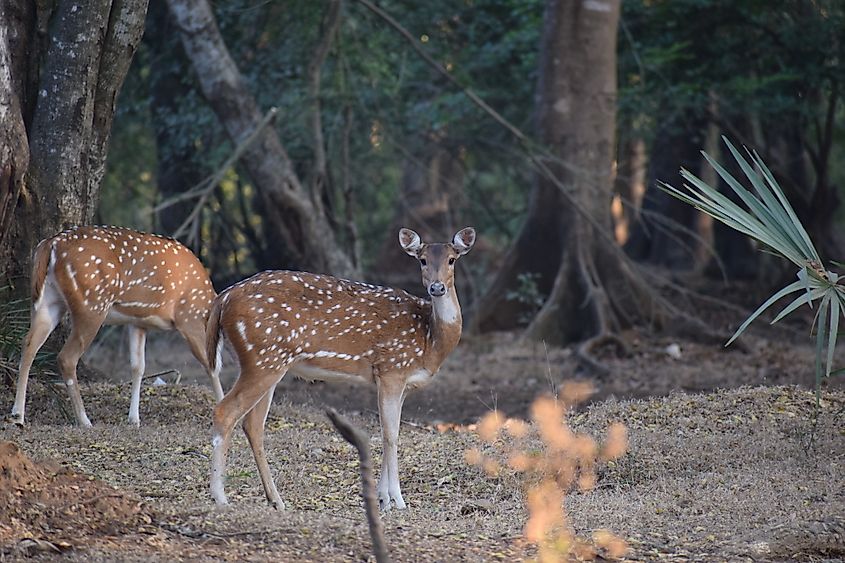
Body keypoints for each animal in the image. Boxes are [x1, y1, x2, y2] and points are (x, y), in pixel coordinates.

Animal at [9, 225, 226, 428]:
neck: (207, 304)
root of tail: (50, 244)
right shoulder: (189, 317)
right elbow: (212, 365)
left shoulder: (137, 322)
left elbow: (138, 367)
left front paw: (134, 419)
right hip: (92, 303)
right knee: (66, 357)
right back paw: (84, 420)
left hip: (48, 302)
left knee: (28, 344)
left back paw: (18, 415)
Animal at [205, 226, 474, 512]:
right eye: (422, 260)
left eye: (452, 259)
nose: (437, 287)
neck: (429, 340)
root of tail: (222, 299)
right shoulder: (391, 368)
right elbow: (390, 435)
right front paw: (397, 500)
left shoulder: (401, 382)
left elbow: (388, 431)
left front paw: (383, 498)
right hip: (263, 358)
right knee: (225, 411)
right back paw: (220, 497)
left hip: (264, 362)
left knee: (253, 424)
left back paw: (276, 500)